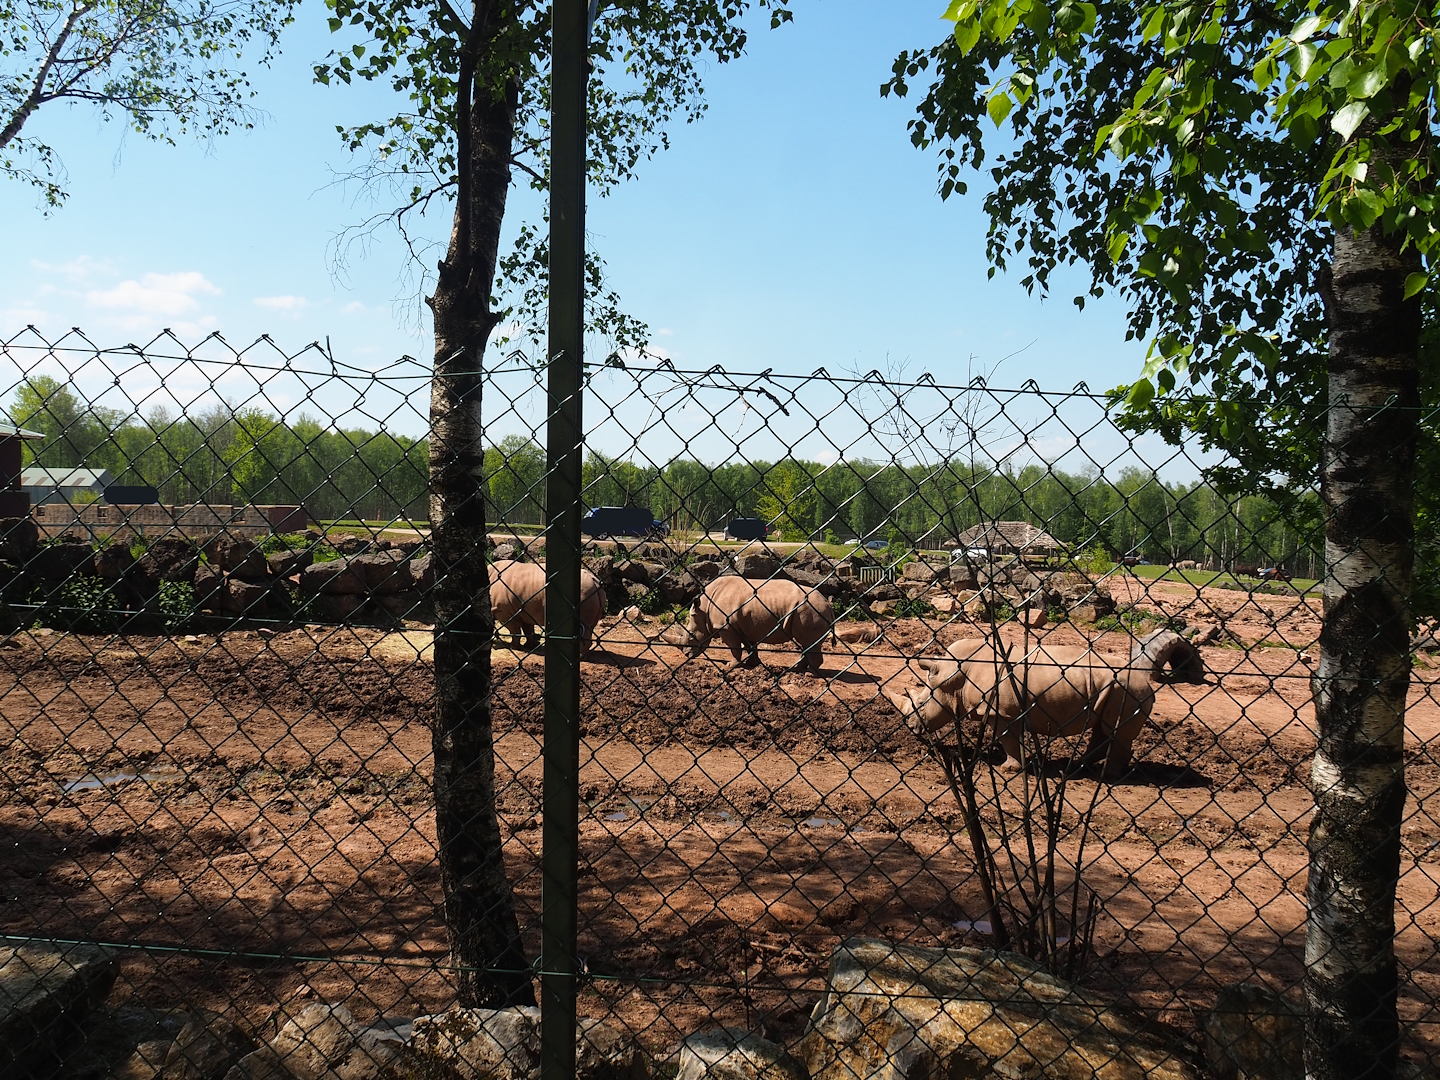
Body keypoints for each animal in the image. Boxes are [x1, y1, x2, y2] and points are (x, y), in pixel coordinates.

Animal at [677, 575, 834, 675]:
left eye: (691, 635)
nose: (686, 654)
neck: (704, 608)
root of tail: (828, 604)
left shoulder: (726, 626)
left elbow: (734, 647)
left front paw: (731, 666)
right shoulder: (745, 626)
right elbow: (750, 646)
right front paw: (752, 664)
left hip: (811, 611)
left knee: (809, 643)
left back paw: (809, 674)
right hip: (811, 611)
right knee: (806, 644)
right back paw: (797, 669)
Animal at [885, 630, 1204, 779]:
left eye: (922, 703)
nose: (911, 727)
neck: (954, 679)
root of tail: (1147, 681)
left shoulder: (1003, 713)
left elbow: (1009, 740)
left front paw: (1009, 770)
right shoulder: (1002, 711)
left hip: (1130, 691)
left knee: (1116, 732)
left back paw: (1107, 777)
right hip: (1117, 689)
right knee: (1103, 729)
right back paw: (1079, 768)